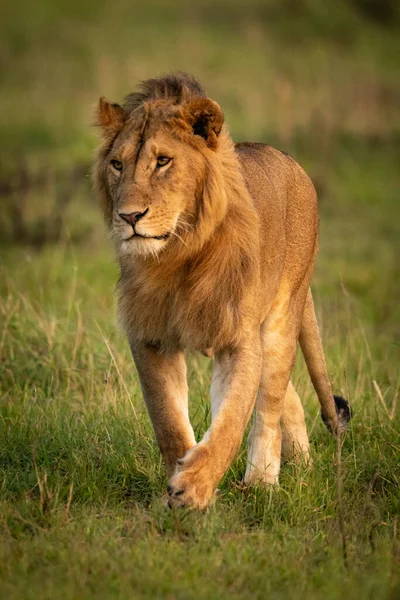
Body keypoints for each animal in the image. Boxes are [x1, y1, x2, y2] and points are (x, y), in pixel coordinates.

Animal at [92, 72, 348, 508]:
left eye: (163, 161)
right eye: (117, 164)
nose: (129, 216)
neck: (178, 254)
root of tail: (289, 160)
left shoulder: (238, 339)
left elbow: (231, 420)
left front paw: (194, 487)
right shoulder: (150, 337)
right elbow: (169, 420)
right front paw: (179, 480)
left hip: (282, 316)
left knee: (270, 401)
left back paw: (262, 481)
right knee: (286, 396)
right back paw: (302, 463)